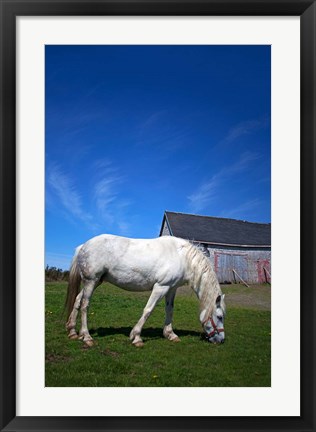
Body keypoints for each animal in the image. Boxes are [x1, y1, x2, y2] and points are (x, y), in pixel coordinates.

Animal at [65, 235, 226, 346]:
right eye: (219, 317)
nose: (221, 340)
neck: (181, 256)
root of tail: (83, 246)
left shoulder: (171, 289)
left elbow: (170, 310)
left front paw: (170, 334)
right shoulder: (161, 287)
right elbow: (148, 310)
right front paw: (136, 337)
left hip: (95, 281)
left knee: (78, 300)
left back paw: (73, 332)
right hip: (91, 281)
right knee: (85, 305)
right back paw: (87, 337)